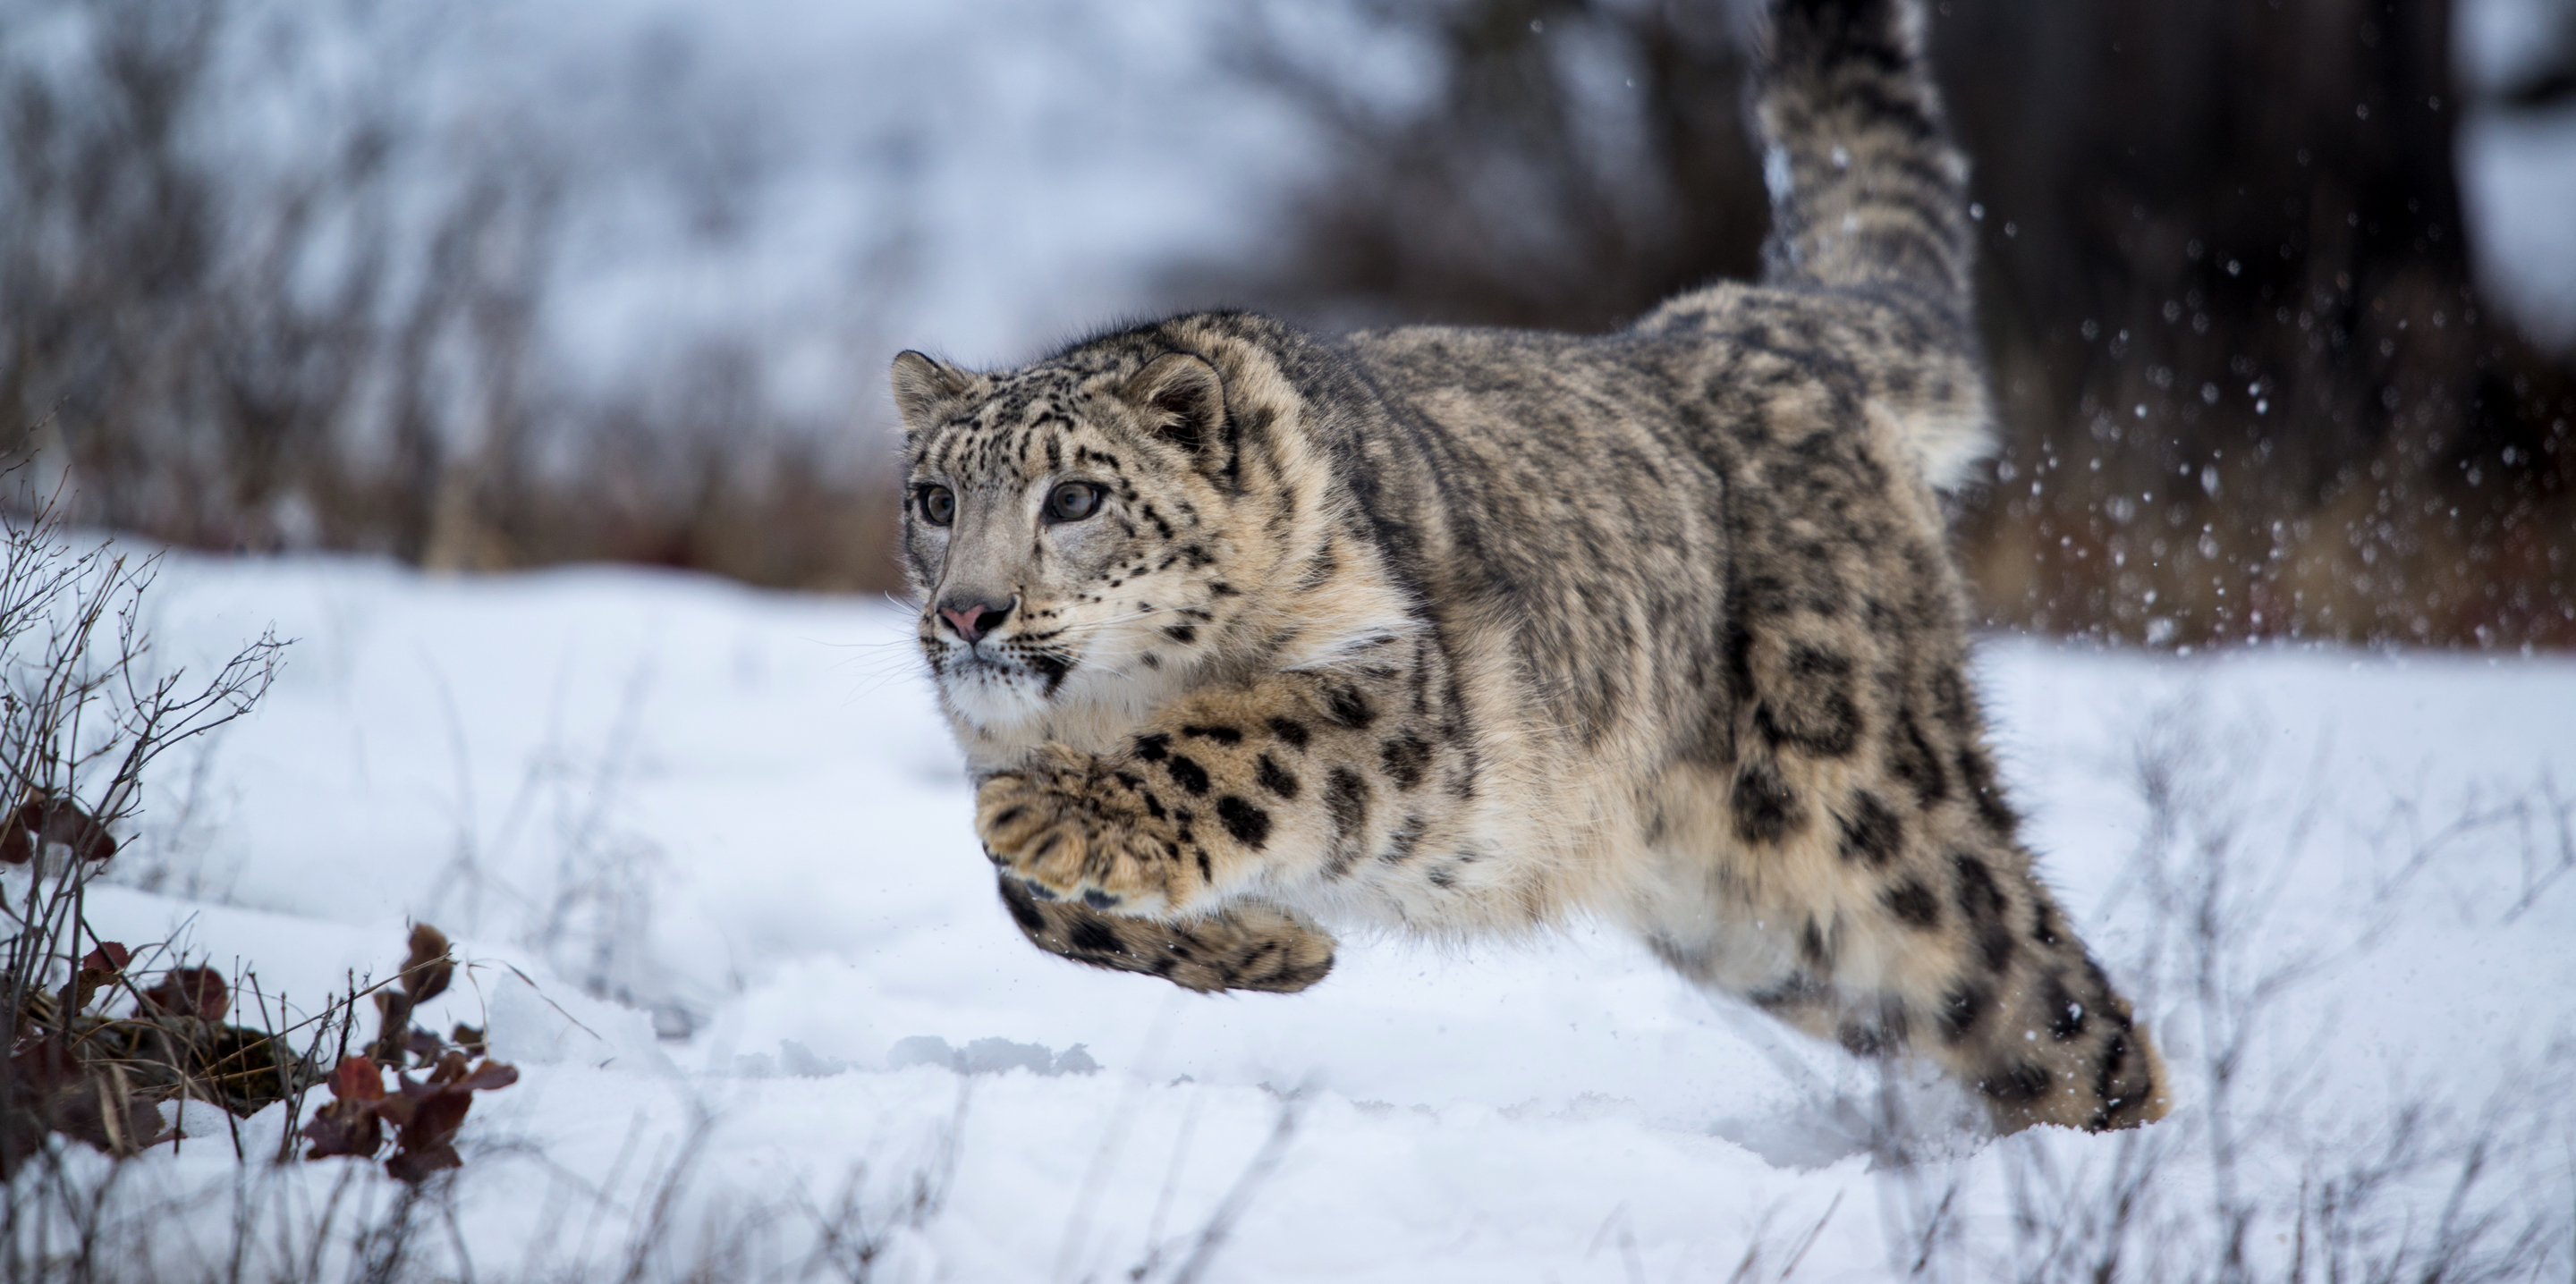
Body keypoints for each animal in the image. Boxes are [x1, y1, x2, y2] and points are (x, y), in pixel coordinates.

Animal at [896, 0, 2164, 1132]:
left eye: (1075, 497)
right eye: (935, 500)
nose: (968, 613)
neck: (1099, 705)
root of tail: (1756, 316)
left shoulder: (1401, 699)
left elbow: (1231, 745)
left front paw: (1053, 814)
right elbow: (1025, 901)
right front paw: (1273, 942)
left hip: (1870, 808)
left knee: (2053, 998)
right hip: (1770, 921)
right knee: (1996, 1023)